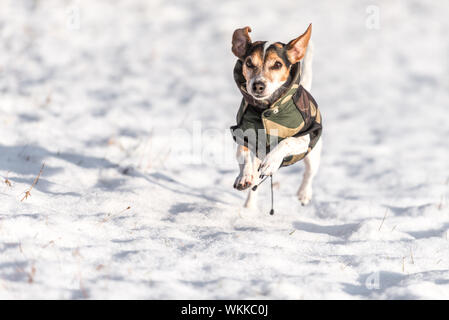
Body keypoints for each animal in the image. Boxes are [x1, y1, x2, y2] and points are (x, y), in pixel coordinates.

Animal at [229, 23, 320, 209]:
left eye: (277, 64)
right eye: (249, 63)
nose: (258, 85)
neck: (266, 108)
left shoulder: (304, 138)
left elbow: (286, 141)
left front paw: (271, 161)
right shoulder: (242, 134)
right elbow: (243, 156)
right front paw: (244, 176)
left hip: (313, 154)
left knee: (309, 173)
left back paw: (304, 193)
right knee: (254, 183)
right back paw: (249, 205)